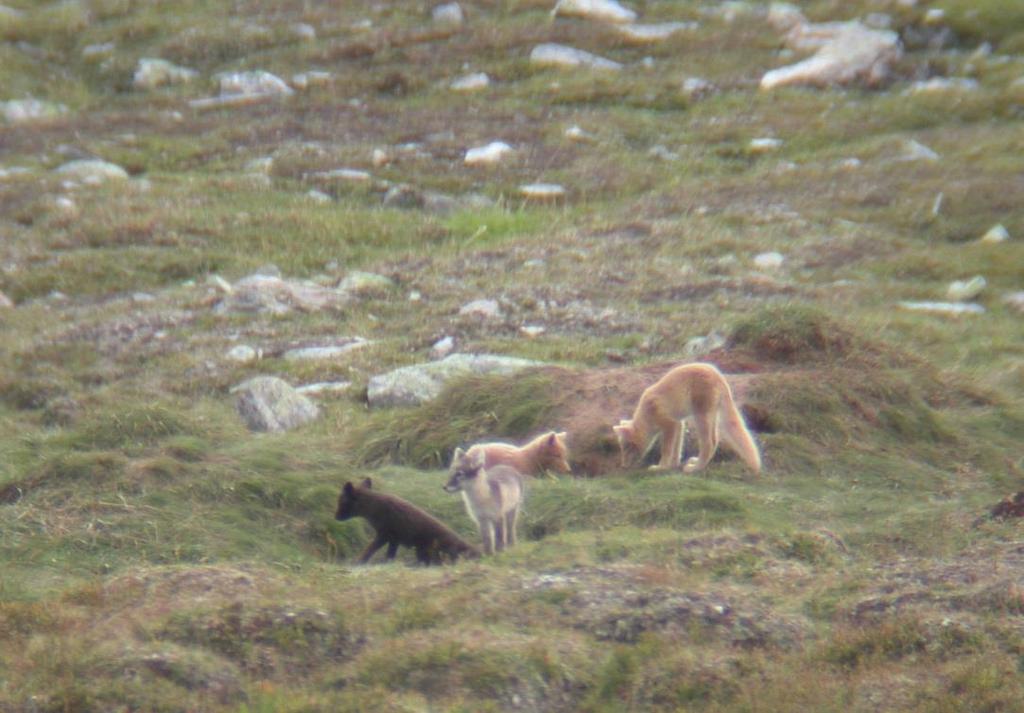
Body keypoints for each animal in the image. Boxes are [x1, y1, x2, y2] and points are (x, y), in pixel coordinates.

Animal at [335, 481, 479, 565]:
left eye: (341, 501)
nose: (336, 517)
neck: (375, 506)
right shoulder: (394, 539)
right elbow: (389, 555)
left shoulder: (384, 535)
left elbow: (369, 550)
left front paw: (358, 562)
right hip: (421, 550)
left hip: (427, 550)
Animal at [606, 364, 761, 475]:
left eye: (626, 446)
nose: (623, 466)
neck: (647, 414)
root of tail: (719, 377)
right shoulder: (679, 424)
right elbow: (677, 448)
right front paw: (673, 465)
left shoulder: (669, 424)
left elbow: (666, 449)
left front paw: (661, 467)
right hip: (711, 417)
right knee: (715, 441)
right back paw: (697, 462)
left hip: (701, 417)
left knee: (709, 443)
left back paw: (695, 468)